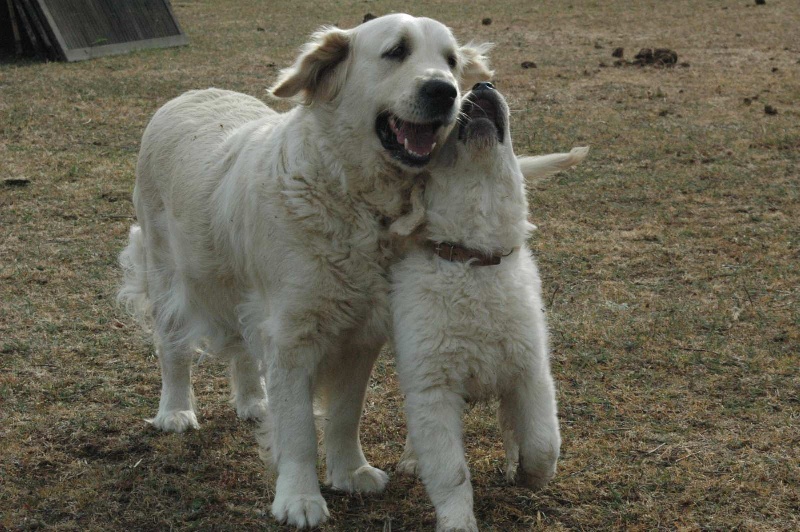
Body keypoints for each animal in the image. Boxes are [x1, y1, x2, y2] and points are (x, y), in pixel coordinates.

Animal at [119, 14, 494, 528]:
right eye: (396, 51)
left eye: (452, 61)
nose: (445, 91)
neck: (349, 193)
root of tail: (189, 94)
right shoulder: (293, 337)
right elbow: (297, 428)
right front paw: (299, 499)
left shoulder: (360, 335)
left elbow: (344, 414)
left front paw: (349, 471)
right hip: (167, 275)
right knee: (173, 348)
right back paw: (175, 411)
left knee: (242, 348)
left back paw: (254, 402)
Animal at [390, 81, 588, 528]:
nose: (482, 86)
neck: (474, 259)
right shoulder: (433, 388)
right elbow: (450, 471)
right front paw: (458, 522)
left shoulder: (530, 372)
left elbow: (543, 442)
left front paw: (531, 475)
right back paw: (412, 459)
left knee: (510, 425)